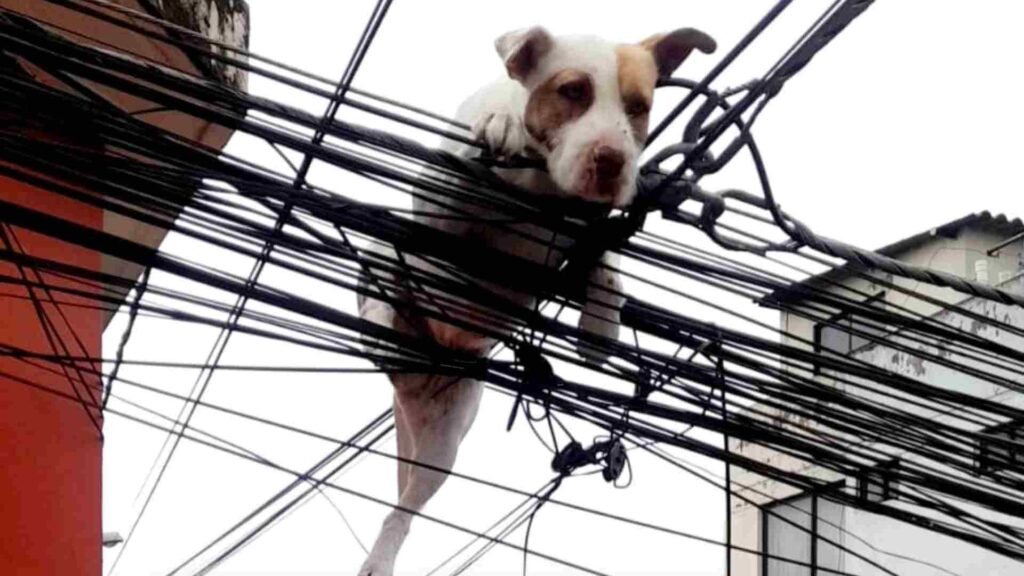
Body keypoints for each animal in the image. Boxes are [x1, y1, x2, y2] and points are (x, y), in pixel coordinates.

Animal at [356, 25, 715, 575]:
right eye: (573, 91)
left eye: (638, 106)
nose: (611, 160)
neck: (542, 180)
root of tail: (412, 375)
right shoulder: (436, 211)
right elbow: (457, 177)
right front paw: (497, 124)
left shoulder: (588, 230)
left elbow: (606, 261)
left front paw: (600, 327)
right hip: (387, 248)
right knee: (379, 273)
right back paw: (379, 320)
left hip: (444, 438)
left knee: (403, 511)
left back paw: (382, 555)